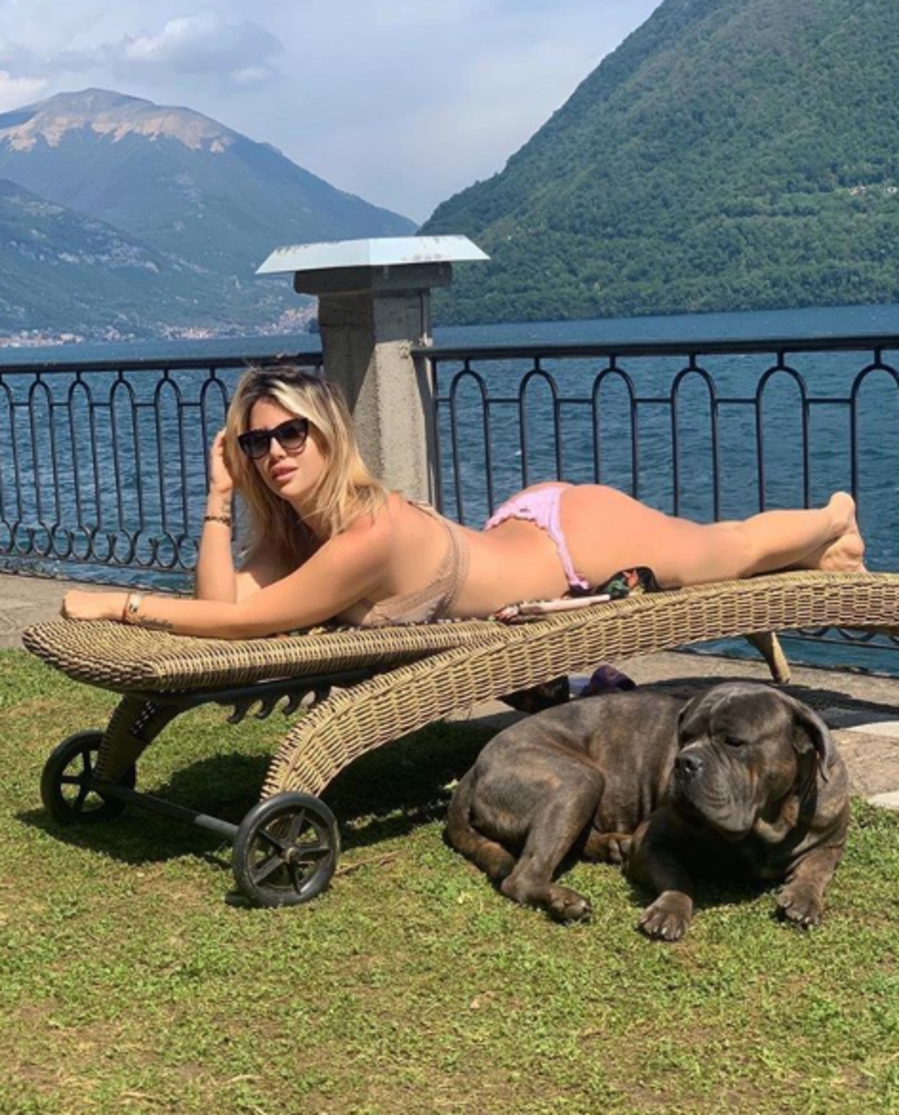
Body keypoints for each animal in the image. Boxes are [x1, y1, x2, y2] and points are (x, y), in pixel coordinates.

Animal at [445, 682, 849, 940]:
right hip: (577, 780)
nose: (684, 761)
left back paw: (611, 847)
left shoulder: (830, 841)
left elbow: (816, 870)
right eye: (684, 736)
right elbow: (678, 876)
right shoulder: (652, 842)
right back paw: (564, 900)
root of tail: (475, 766)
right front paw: (669, 910)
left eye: (734, 742)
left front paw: (803, 899)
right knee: (522, 877)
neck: (768, 821)